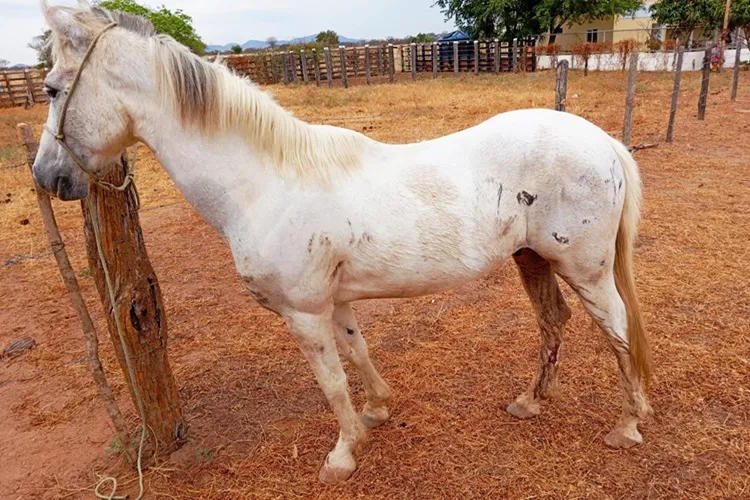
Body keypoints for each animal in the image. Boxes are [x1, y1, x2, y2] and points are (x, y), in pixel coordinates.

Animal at [33, 0, 652, 484]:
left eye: (53, 89)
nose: (46, 177)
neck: (265, 181)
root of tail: (603, 142)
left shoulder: (303, 313)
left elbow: (330, 381)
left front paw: (343, 454)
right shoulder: (336, 301)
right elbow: (357, 351)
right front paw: (376, 411)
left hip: (586, 270)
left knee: (618, 330)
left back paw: (628, 424)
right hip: (533, 260)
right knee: (553, 322)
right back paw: (531, 401)